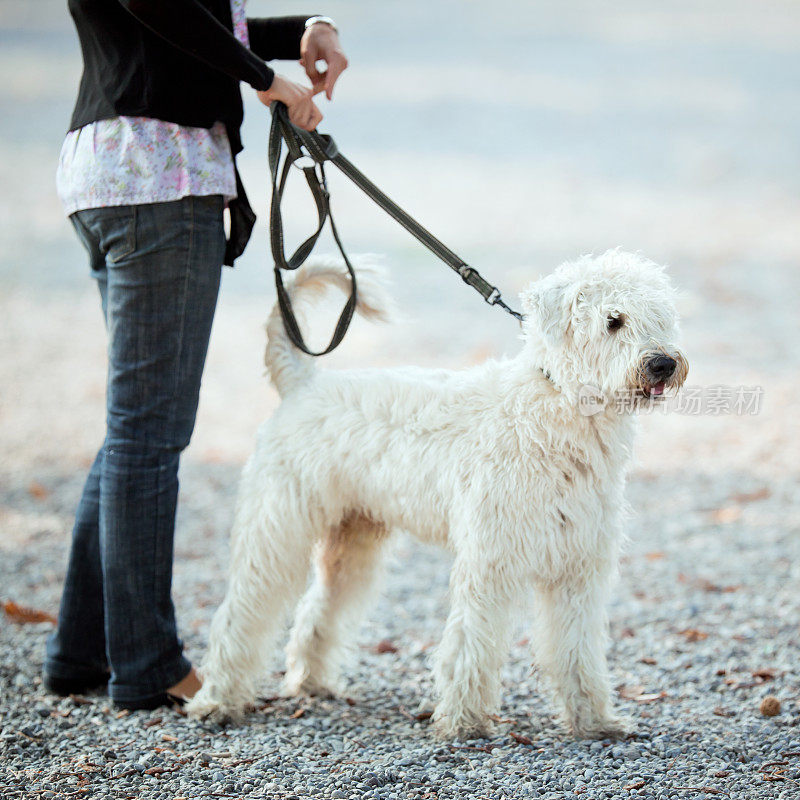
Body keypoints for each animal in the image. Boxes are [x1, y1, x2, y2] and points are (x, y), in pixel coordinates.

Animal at [188, 248, 688, 736]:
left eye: (662, 315)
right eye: (613, 320)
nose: (662, 363)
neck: (557, 408)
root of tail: (303, 384)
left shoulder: (579, 567)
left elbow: (577, 649)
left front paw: (594, 720)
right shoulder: (491, 563)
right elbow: (474, 642)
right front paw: (464, 721)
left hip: (354, 541)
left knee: (319, 612)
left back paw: (313, 683)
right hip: (276, 533)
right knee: (243, 614)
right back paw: (217, 702)